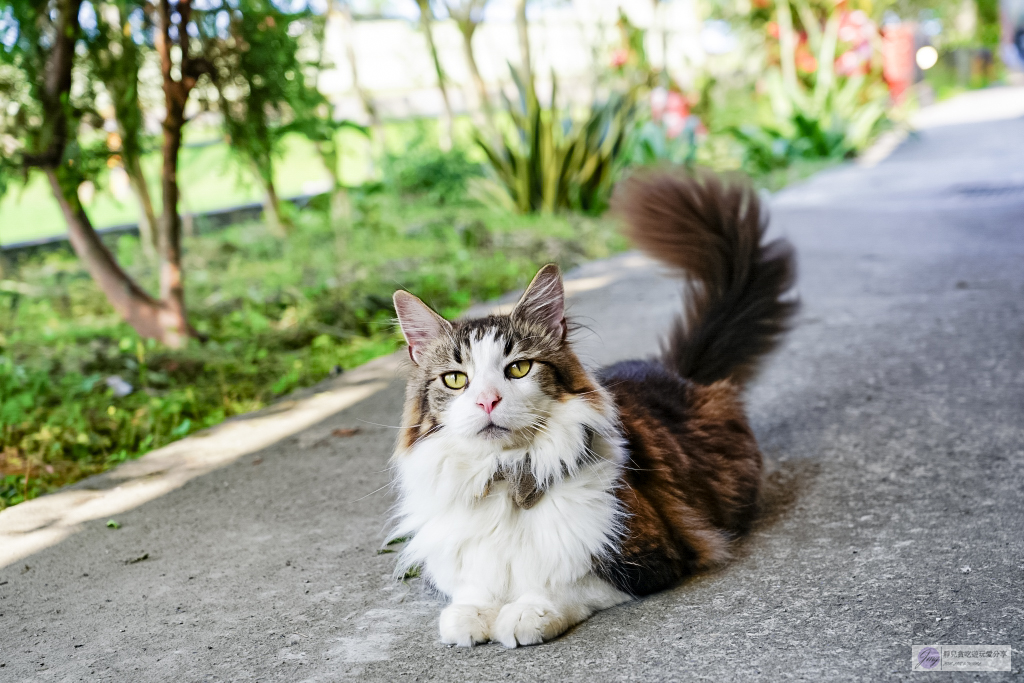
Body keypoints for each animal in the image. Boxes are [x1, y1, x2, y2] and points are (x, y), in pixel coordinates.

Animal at [387, 169, 794, 647]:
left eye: (519, 368)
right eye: (455, 379)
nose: (488, 399)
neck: (505, 477)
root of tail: (673, 374)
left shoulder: (651, 555)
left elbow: (568, 581)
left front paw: (526, 611)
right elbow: (473, 589)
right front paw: (472, 613)